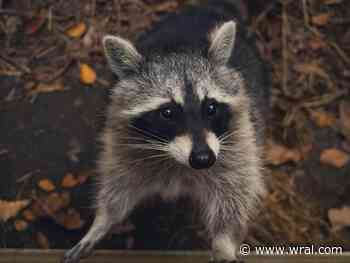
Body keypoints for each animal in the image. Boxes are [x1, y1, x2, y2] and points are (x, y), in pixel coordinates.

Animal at [62, 0, 268, 263]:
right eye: (168, 112)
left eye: (211, 107)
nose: (203, 159)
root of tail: (210, 7)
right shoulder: (123, 139)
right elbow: (119, 185)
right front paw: (102, 221)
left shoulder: (238, 139)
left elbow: (235, 191)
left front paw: (224, 241)